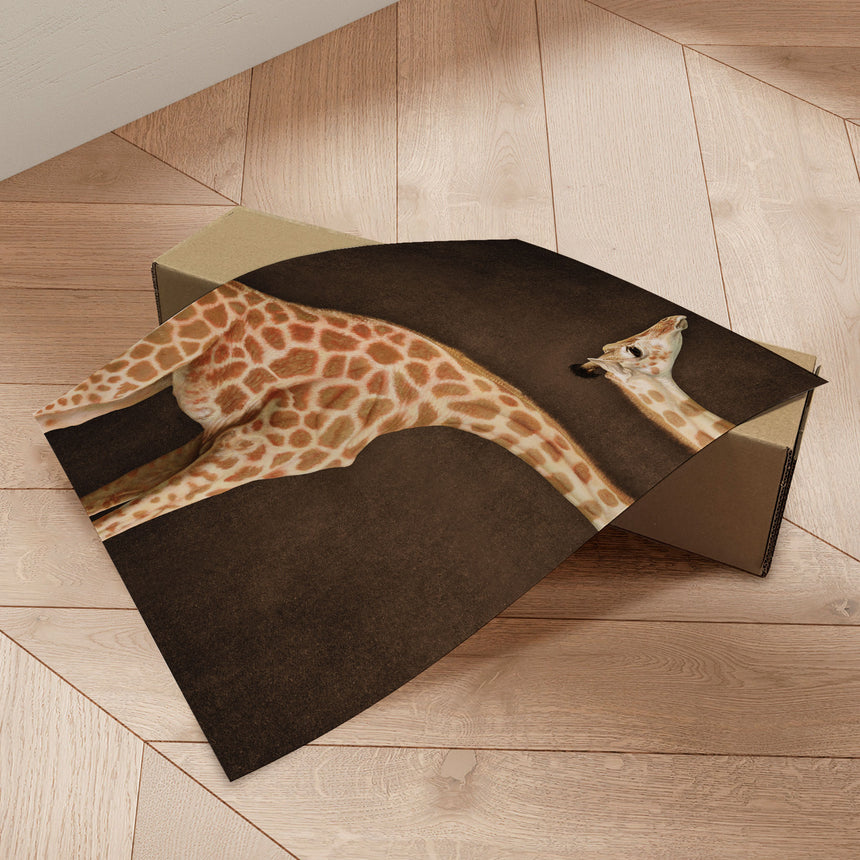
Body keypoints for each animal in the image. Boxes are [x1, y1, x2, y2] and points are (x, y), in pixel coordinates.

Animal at [35, 280, 633, 539]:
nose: (587, 366)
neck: (421, 399)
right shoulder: (248, 453)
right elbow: (113, 525)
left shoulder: (214, 442)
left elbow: (102, 504)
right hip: (138, 368)